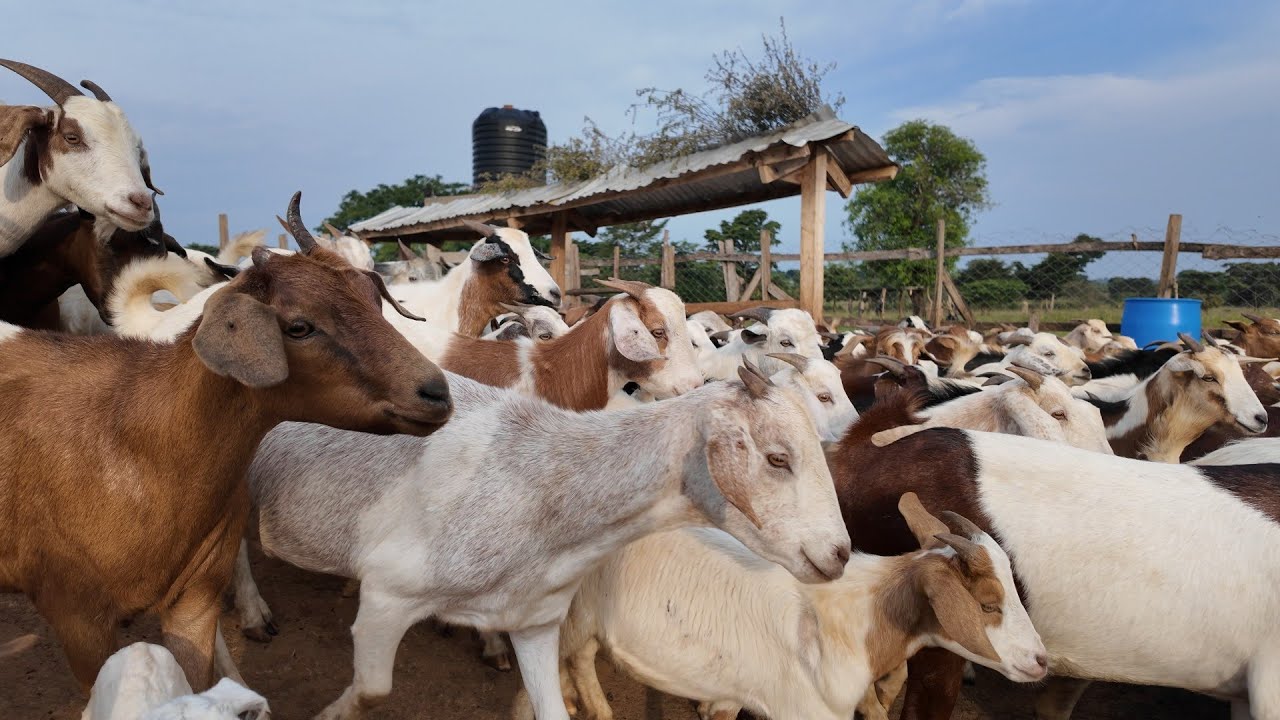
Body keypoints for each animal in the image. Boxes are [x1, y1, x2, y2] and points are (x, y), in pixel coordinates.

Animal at [0, 193, 452, 692]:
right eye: (298, 327)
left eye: (374, 300)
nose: (435, 392)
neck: (135, 440)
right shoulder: (78, 621)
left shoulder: (192, 600)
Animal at [232, 365, 850, 720]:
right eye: (777, 458)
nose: (840, 554)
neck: (544, 488)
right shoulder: (387, 597)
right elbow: (371, 690)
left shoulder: (535, 621)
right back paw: (251, 617)